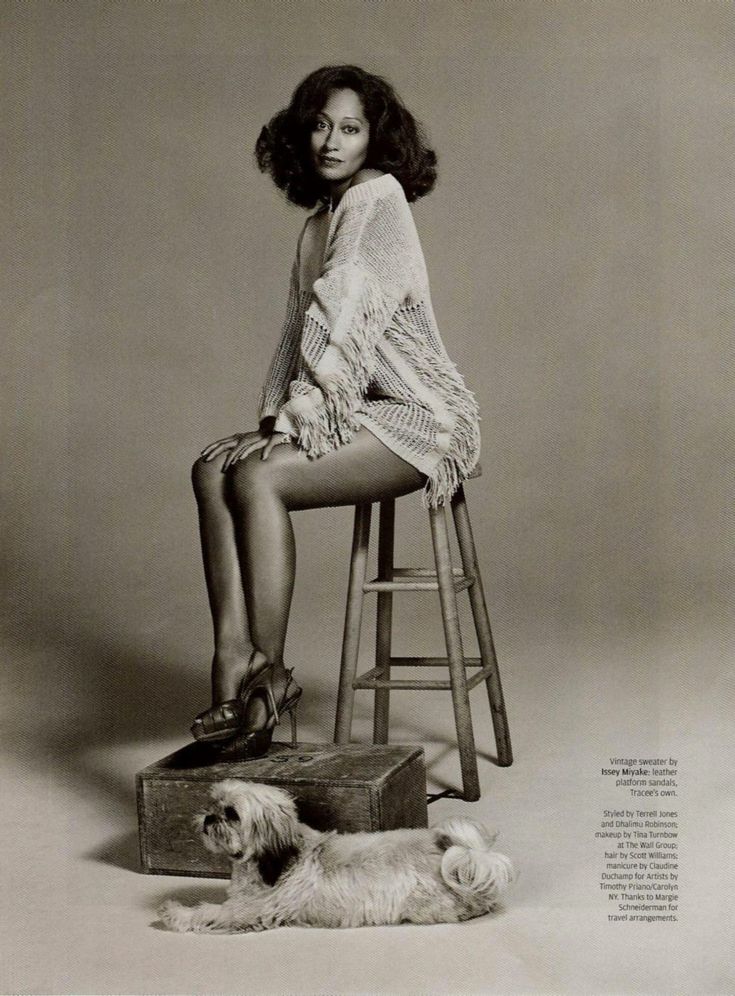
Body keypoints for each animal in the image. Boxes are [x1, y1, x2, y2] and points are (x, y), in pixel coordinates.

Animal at [158, 780, 516, 932]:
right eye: (212, 803)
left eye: (231, 814)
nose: (209, 817)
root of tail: (468, 859)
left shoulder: (250, 911)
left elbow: (209, 912)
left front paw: (175, 913)